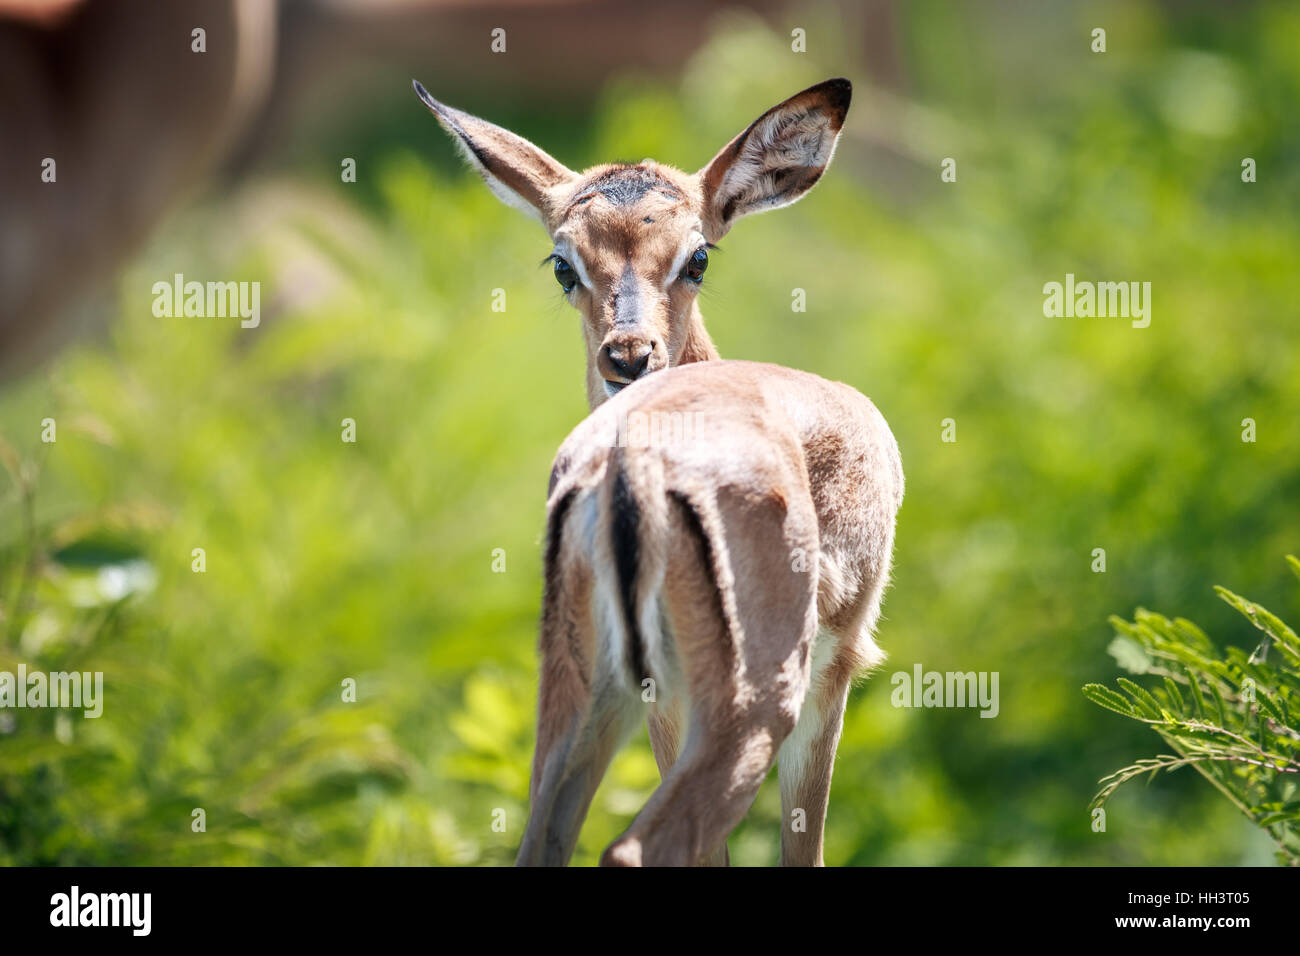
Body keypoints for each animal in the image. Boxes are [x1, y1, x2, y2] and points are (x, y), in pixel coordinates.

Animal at [415, 77, 903, 865]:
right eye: (564, 263)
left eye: (697, 257)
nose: (628, 356)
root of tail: (630, 462)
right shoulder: (835, 671)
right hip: (752, 702)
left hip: (587, 694)